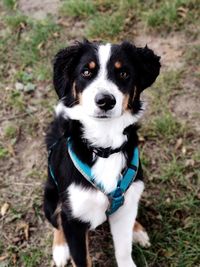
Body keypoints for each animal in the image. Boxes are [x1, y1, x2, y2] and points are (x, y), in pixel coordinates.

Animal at [44, 40, 161, 267]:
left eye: (123, 73)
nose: (105, 100)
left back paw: (137, 230)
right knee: (56, 221)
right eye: (86, 72)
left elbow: (124, 251)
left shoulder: (125, 207)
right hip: (50, 198)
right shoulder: (74, 220)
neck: (104, 148)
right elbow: (79, 255)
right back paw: (60, 249)